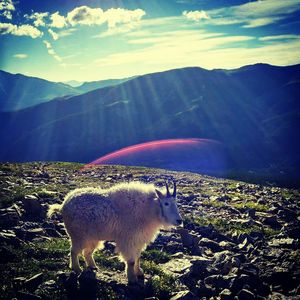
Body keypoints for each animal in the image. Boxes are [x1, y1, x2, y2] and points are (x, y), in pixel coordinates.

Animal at [48, 180, 182, 284]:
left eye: (176, 203)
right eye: (166, 203)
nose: (179, 221)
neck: (149, 209)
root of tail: (63, 205)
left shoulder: (139, 239)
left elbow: (138, 257)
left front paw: (139, 273)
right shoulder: (128, 239)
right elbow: (131, 261)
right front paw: (132, 279)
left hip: (92, 237)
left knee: (87, 252)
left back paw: (92, 266)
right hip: (77, 234)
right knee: (74, 251)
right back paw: (77, 269)